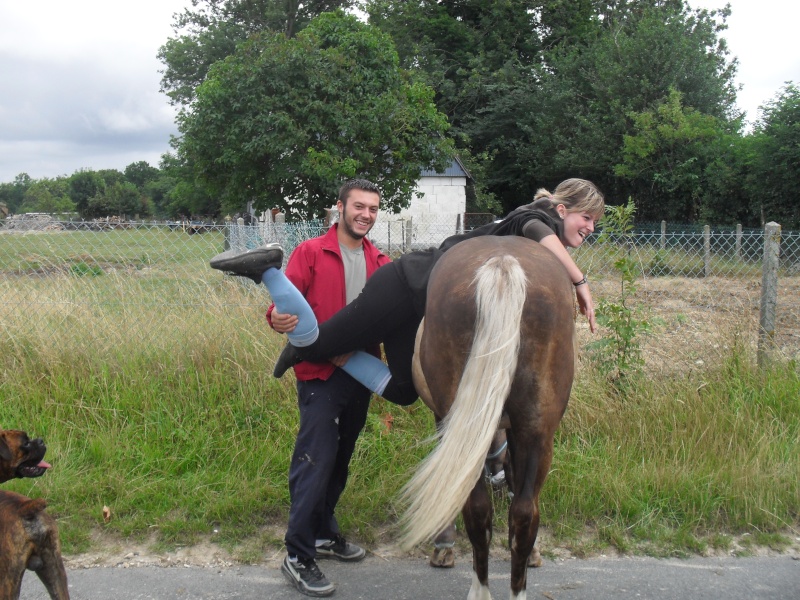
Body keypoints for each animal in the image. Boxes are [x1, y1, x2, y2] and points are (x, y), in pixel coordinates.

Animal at [406, 237, 576, 596]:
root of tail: (502, 263)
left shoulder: (447, 422)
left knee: (480, 508)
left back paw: (481, 588)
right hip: (537, 431)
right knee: (523, 513)